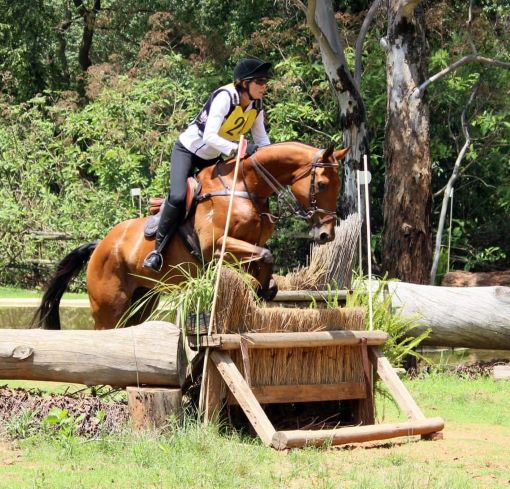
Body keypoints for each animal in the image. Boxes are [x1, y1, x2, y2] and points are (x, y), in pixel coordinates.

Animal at [33, 143, 348, 330]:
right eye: (322, 184)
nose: (326, 234)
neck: (245, 187)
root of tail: (101, 246)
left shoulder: (248, 245)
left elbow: (262, 258)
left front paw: (264, 287)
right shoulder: (216, 247)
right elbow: (265, 254)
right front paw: (259, 288)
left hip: (142, 300)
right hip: (109, 305)